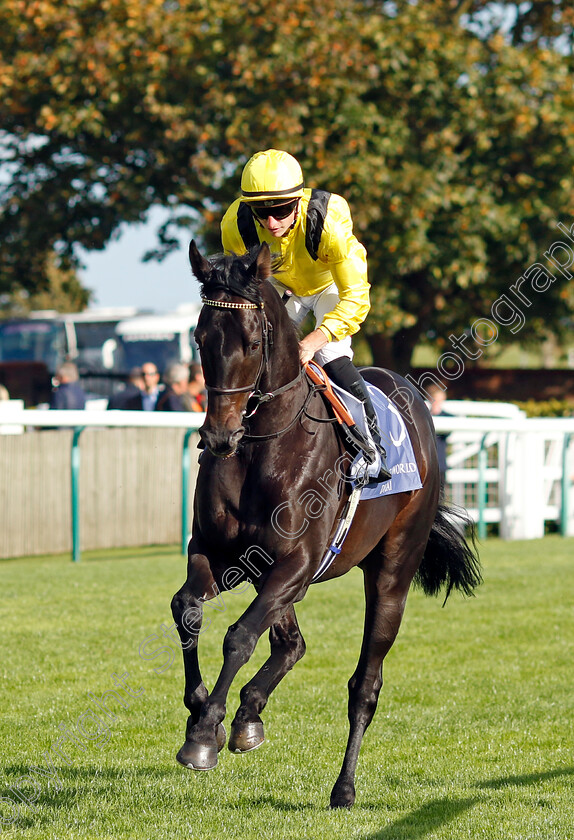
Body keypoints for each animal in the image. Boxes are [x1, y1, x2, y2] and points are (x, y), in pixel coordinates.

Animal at [171, 241, 482, 808]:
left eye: (253, 341)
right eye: (200, 339)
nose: (219, 437)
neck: (263, 446)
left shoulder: (296, 561)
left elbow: (238, 637)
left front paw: (204, 734)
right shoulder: (221, 554)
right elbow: (188, 610)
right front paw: (203, 707)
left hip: (390, 572)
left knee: (365, 685)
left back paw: (344, 786)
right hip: (269, 574)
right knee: (290, 643)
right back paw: (249, 714)